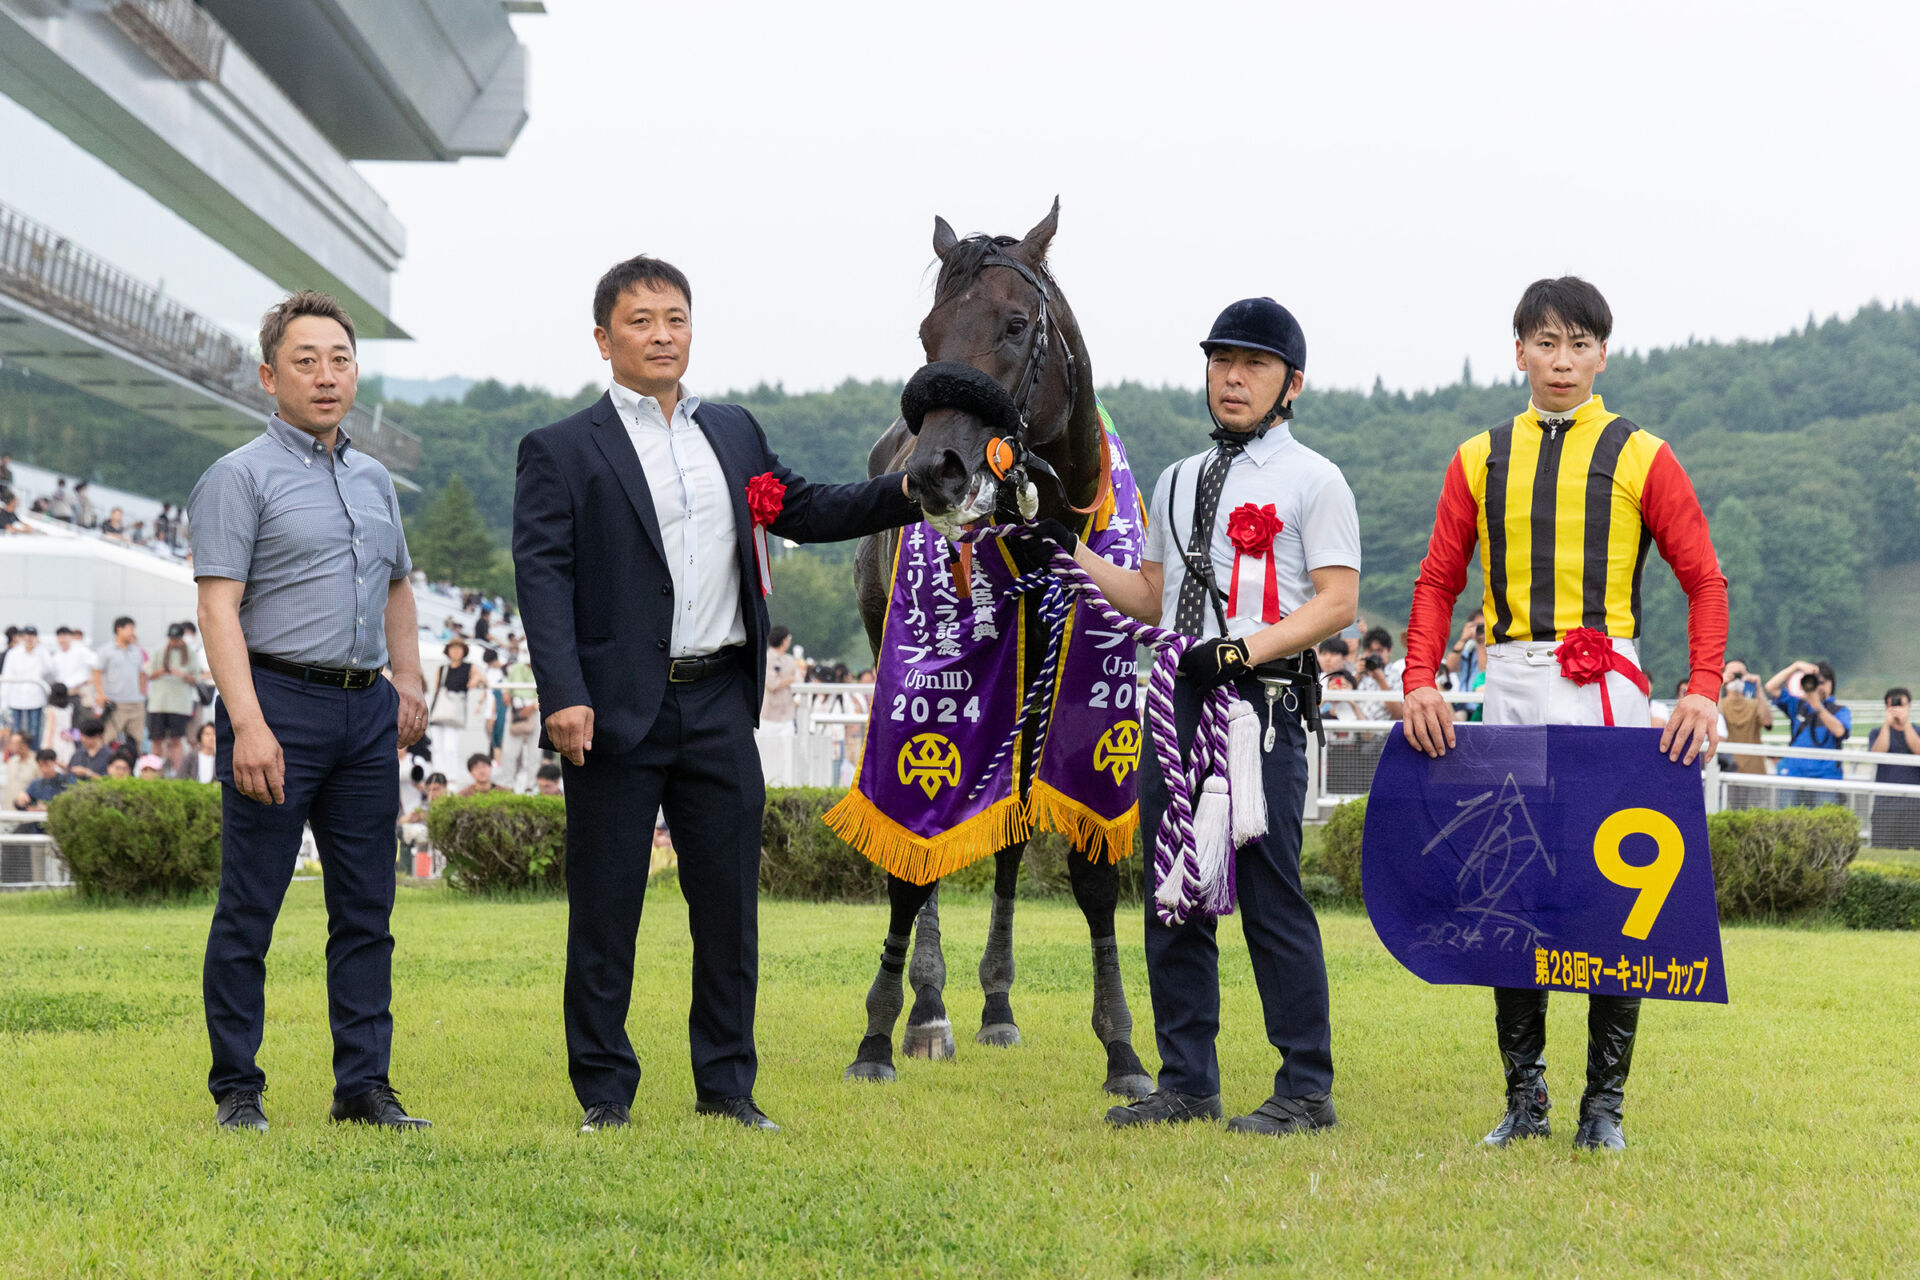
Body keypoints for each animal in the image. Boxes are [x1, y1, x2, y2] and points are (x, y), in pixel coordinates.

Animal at [844, 202, 1144, 1105]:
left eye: (1015, 324)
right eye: (927, 330)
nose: (935, 471)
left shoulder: (1073, 699)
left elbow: (1078, 859)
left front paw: (1123, 1048)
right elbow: (913, 851)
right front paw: (889, 1027)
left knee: (1007, 829)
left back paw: (996, 1004)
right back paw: (931, 1005)